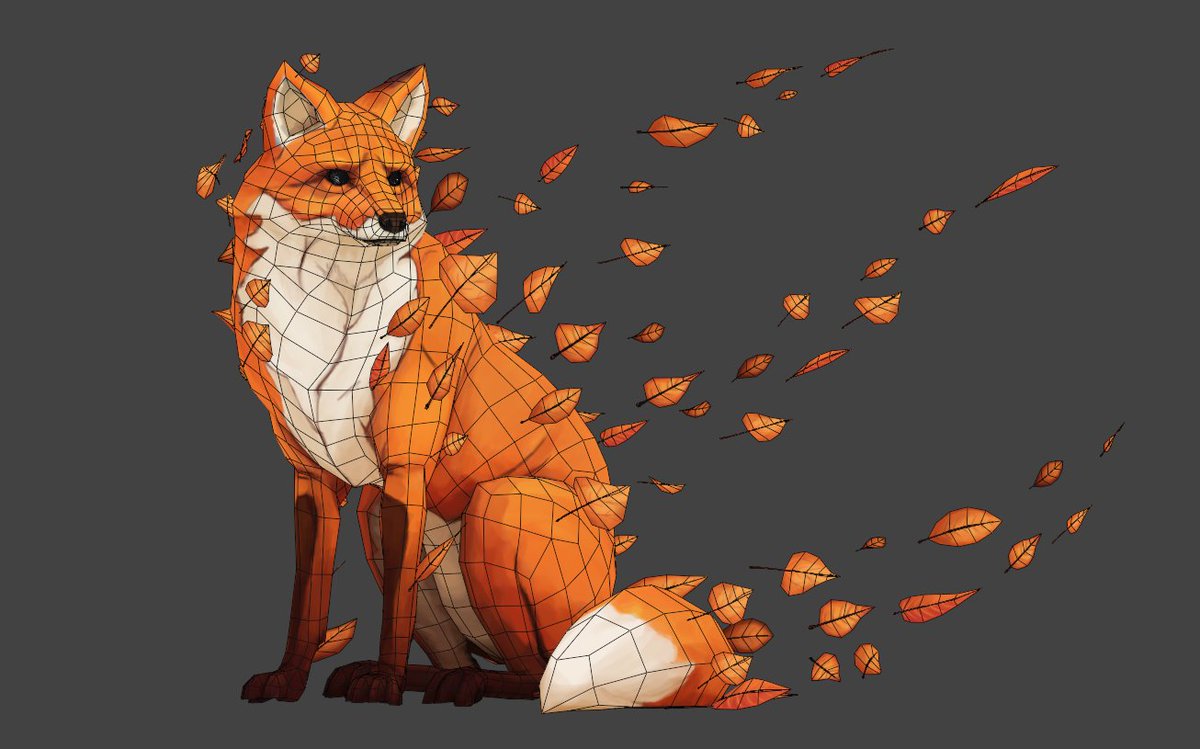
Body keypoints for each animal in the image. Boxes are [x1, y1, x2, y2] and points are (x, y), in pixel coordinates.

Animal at [222, 62, 735, 710]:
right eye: (337, 177)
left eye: (397, 179)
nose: (395, 222)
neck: (326, 318)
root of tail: (607, 585)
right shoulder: (314, 479)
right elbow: (306, 606)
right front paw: (288, 680)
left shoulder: (405, 467)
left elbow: (393, 608)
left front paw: (385, 684)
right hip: (377, 521)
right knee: (479, 659)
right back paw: (423, 677)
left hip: (500, 505)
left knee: (537, 675)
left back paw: (446, 683)